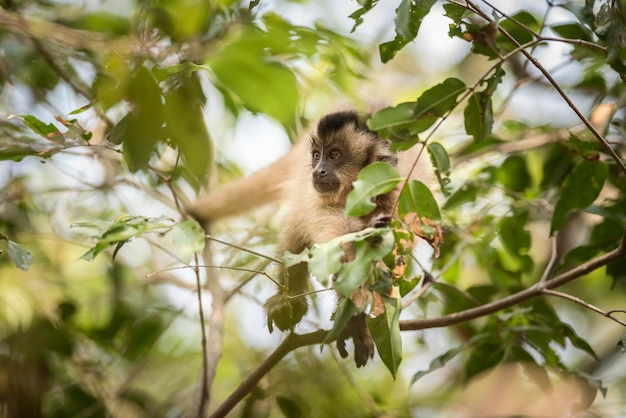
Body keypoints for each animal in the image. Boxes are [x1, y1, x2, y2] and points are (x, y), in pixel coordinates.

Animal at [188, 110, 432, 366]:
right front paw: (354, 321)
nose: (317, 170)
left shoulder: (399, 197)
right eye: (317, 155)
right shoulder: (322, 206)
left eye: (334, 155)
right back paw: (288, 299)